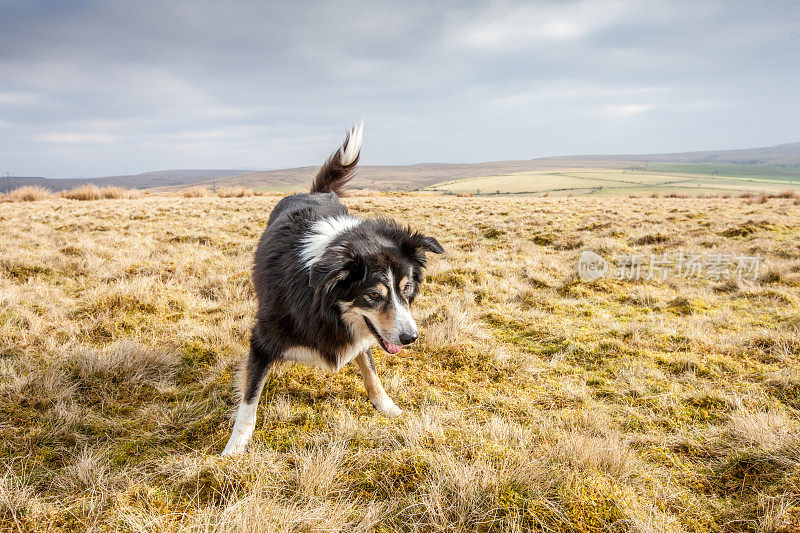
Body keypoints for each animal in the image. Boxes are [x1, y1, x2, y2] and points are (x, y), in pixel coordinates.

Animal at [222, 123, 444, 454]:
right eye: (373, 295)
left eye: (406, 289)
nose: (410, 338)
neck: (323, 303)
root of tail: (313, 193)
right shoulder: (262, 339)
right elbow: (250, 398)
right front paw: (235, 448)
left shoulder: (362, 335)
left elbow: (370, 370)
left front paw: (386, 406)